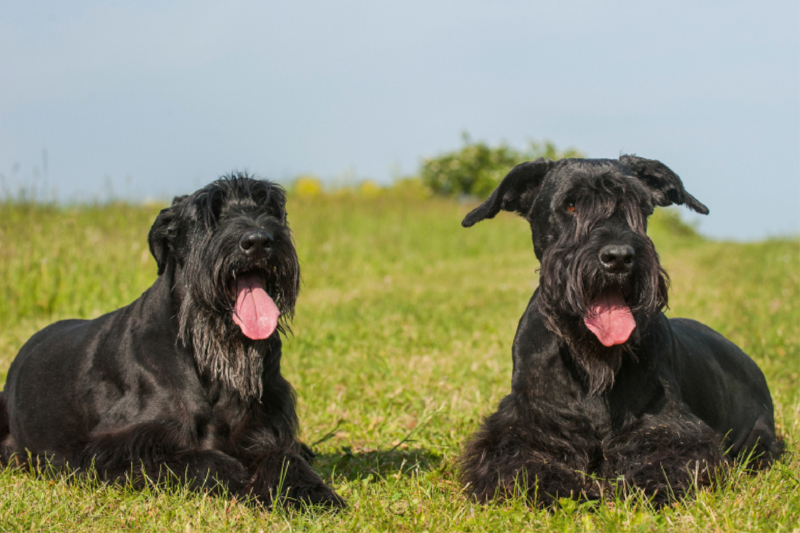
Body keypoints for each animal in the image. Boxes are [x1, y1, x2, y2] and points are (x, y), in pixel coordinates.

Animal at [0, 175, 344, 508]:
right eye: (209, 215)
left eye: (270, 209)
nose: (258, 240)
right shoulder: (111, 446)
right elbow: (202, 460)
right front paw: (239, 476)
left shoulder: (268, 426)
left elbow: (284, 458)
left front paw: (311, 493)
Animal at [456, 156, 780, 504]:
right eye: (570, 205)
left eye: (637, 204)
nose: (620, 257)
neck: (591, 365)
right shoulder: (525, 427)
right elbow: (522, 464)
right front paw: (564, 488)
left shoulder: (670, 427)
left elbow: (664, 459)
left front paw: (634, 487)